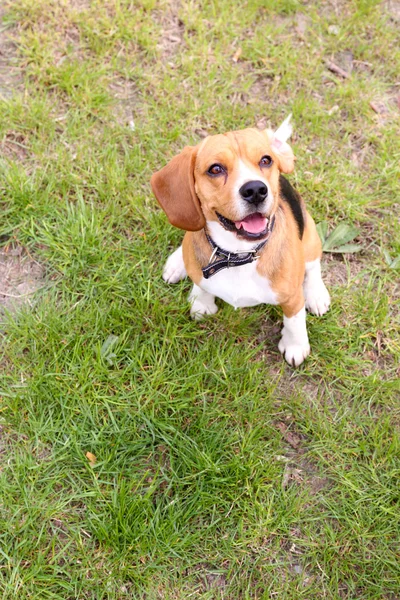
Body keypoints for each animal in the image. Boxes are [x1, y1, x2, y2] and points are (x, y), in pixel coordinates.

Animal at [152, 114, 330, 364]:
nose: (255, 190)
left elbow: (294, 320)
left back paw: (316, 294)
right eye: (215, 169)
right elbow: (202, 286)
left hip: (311, 237)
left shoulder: (293, 297)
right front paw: (201, 302)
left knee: (313, 267)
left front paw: (295, 345)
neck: (237, 254)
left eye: (266, 160)